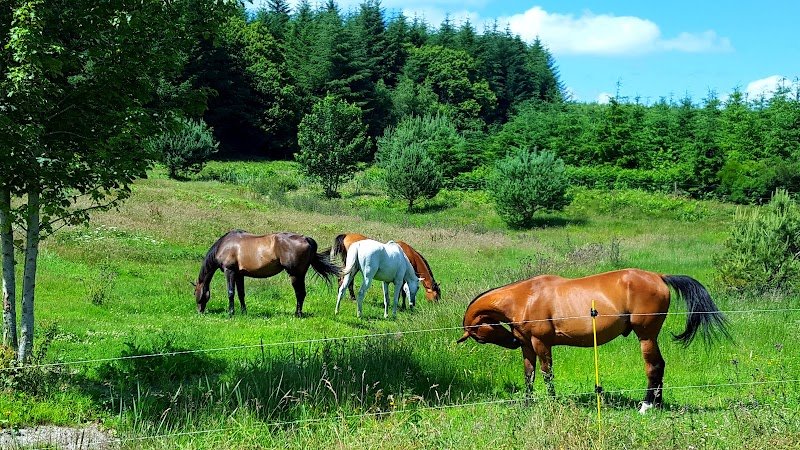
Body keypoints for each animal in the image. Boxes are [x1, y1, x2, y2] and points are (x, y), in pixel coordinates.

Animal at [194, 230, 340, 317]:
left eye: (194, 292)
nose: (199, 311)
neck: (225, 245)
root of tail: (306, 239)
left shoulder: (229, 271)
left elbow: (230, 292)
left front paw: (231, 313)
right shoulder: (239, 274)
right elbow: (241, 294)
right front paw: (244, 311)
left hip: (295, 275)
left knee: (300, 293)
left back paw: (297, 314)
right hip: (300, 275)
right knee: (302, 293)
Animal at [456, 268, 730, 413]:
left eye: (480, 336)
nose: (512, 341)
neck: (525, 297)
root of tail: (659, 277)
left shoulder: (541, 344)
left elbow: (547, 374)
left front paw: (552, 402)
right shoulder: (527, 346)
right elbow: (529, 375)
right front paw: (527, 404)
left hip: (646, 336)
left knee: (653, 367)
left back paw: (646, 406)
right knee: (660, 366)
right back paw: (657, 405)